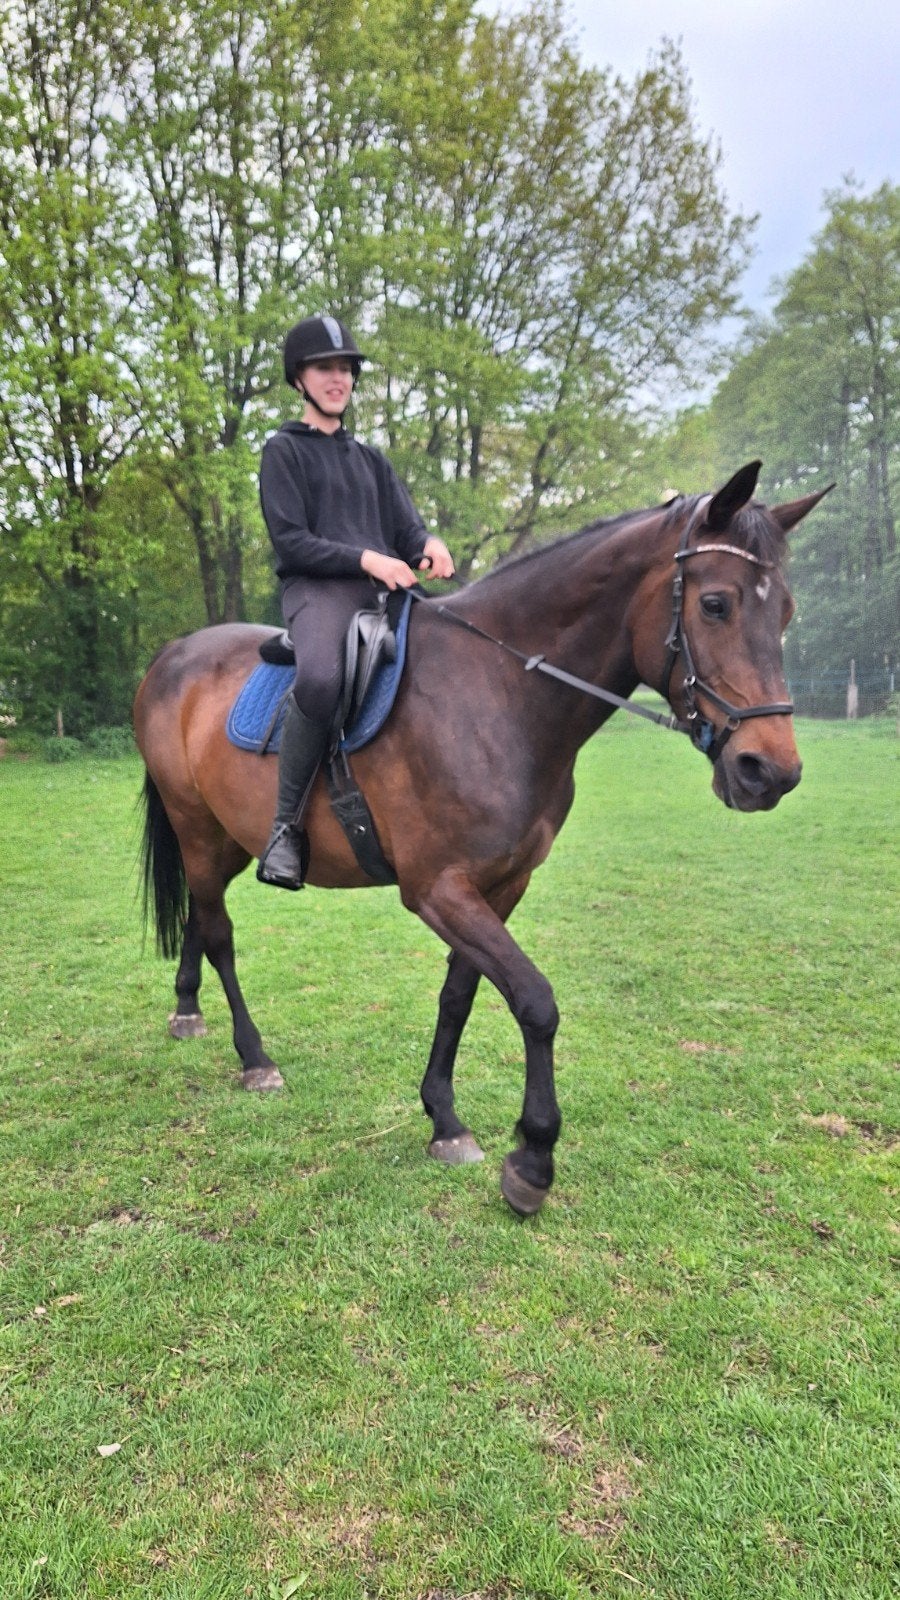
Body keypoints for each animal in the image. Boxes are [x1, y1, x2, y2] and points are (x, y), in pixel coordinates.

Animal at [135, 460, 829, 1215]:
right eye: (716, 605)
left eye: (786, 612)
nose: (772, 772)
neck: (497, 694)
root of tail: (172, 656)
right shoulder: (438, 889)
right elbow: (535, 1001)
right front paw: (532, 1158)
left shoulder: (501, 884)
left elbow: (460, 995)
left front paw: (445, 1120)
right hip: (196, 827)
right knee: (220, 931)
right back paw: (254, 1057)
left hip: (229, 838)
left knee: (199, 914)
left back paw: (185, 1009)